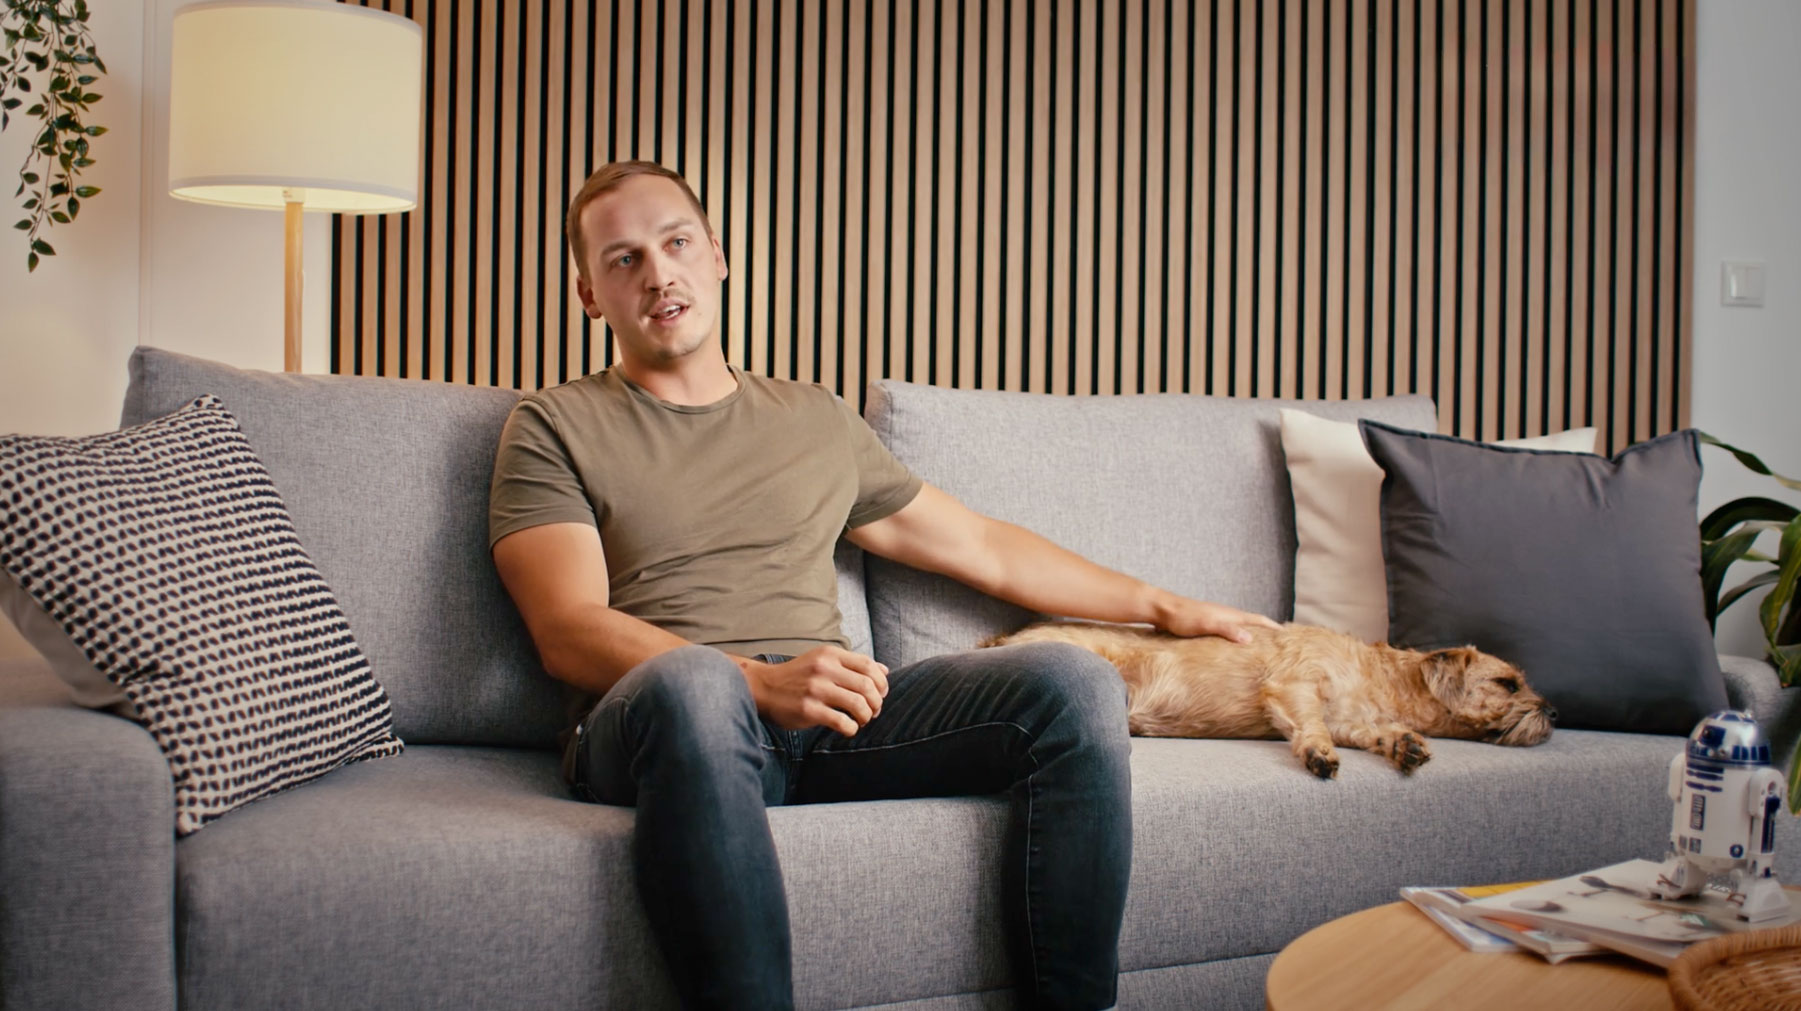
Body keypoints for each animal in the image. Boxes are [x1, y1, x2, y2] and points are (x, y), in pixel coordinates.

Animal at [979, 619, 1556, 774]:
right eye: (1508, 683)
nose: (1553, 709)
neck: (1384, 678)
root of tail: (999, 641)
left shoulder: (1354, 720)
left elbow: (1375, 732)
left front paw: (1404, 744)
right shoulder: (1296, 687)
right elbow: (1313, 726)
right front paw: (1319, 753)